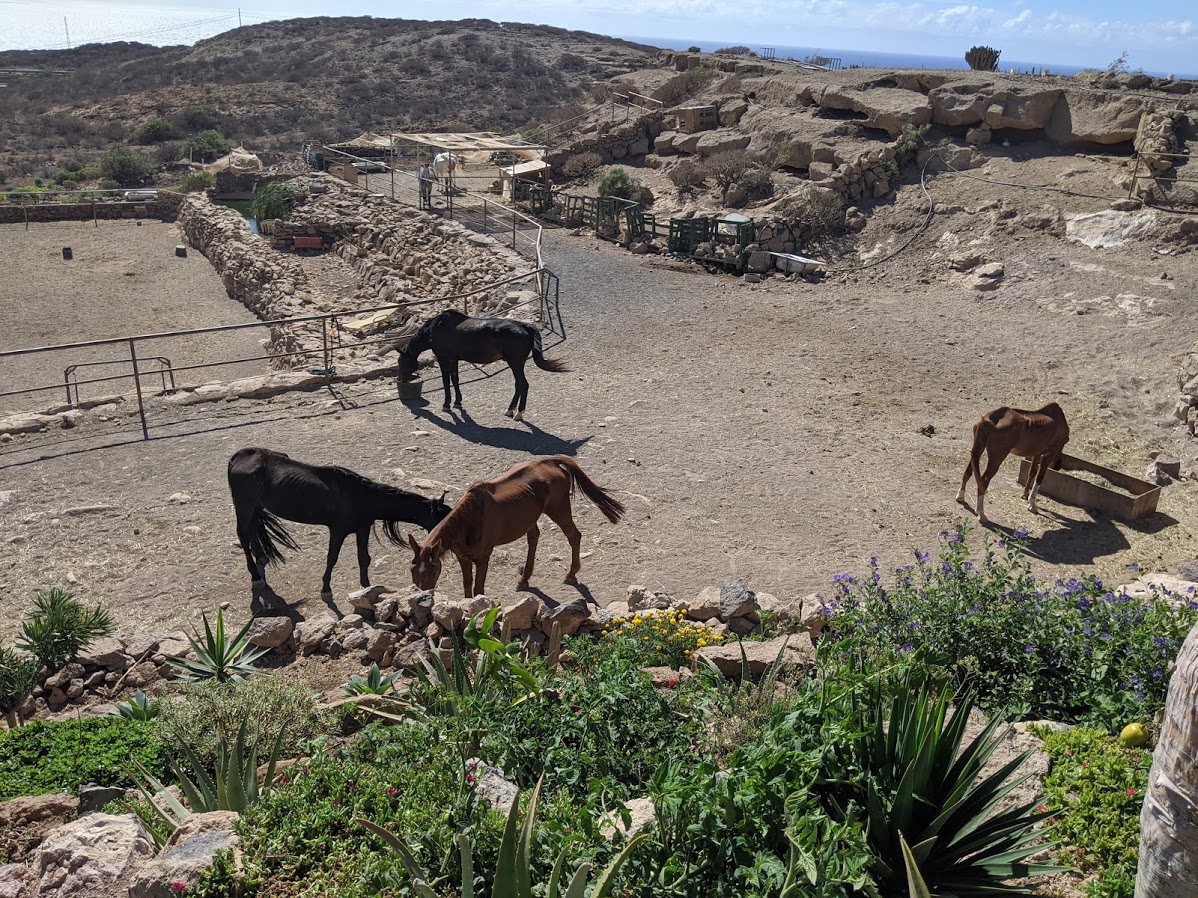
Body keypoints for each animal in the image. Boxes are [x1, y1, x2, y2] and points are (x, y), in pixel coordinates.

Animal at [227, 447, 450, 601]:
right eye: (442, 519)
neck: (361, 496)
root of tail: (239, 456)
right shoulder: (338, 531)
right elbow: (332, 559)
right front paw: (326, 589)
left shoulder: (363, 529)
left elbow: (364, 559)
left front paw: (366, 589)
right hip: (244, 505)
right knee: (243, 534)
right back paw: (255, 576)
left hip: (255, 506)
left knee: (253, 530)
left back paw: (261, 558)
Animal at [395, 308, 567, 421]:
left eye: (401, 362)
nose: (402, 379)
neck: (436, 328)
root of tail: (525, 326)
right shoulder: (454, 359)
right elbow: (455, 379)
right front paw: (457, 402)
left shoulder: (443, 359)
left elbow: (445, 381)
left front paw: (446, 404)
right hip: (517, 364)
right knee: (519, 385)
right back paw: (510, 410)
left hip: (516, 363)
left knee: (523, 384)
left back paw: (518, 413)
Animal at [404, 457, 622, 598]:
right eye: (412, 569)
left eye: (432, 570)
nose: (420, 595)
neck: (469, 521)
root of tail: (550, 462)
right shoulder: (463, 558)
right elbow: (467, 587)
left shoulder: (483, 558)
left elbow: (478, 588)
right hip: (530, 518)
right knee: (534, 537)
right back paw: (524, 579)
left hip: (559, 511)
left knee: (574, 536)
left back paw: (571, 574)